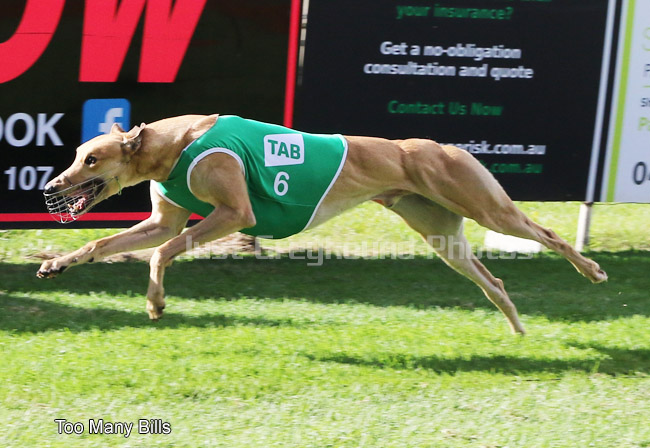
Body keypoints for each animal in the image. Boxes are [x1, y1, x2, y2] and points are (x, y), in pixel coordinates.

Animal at [36, 114, 607, 334]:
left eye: (91, 159)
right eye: (78, 154)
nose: (51, 187)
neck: (176, 143)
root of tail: (441, 146)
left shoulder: (233, 213)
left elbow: (161, 252)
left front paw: (156, 303)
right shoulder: (162, 220)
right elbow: (106, 242)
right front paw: (57, 263)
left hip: (488, 208)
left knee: (548, 235)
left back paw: (592, 270)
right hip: (442, 235)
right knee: (493, 280)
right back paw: (514, 321)